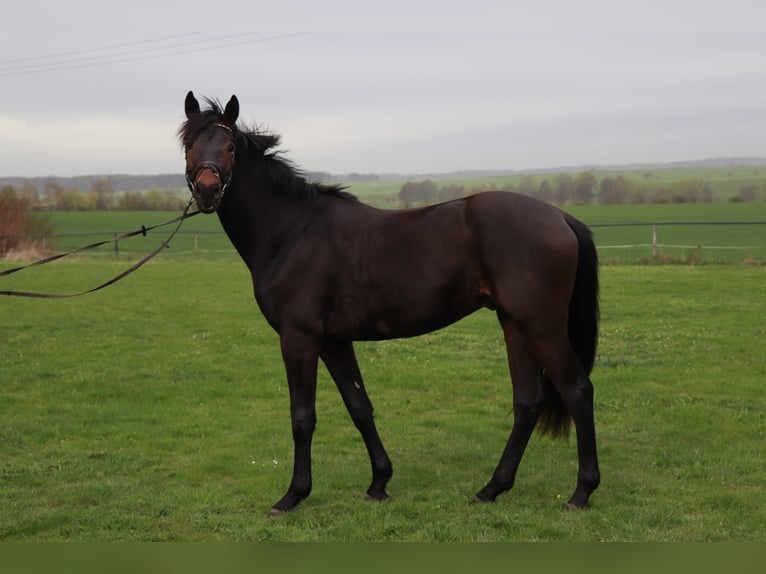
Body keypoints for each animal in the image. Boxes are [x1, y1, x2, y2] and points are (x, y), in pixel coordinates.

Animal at [178, 91, 600, 516]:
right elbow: (359, 406)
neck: (293, 232)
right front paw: (379, 482)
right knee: (527, 402)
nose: (208, 191)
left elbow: (302, 417)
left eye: (231, 147)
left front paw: (293, 495)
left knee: (577, 389)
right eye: (189, 146)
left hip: (542, 326)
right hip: (515, 324)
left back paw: (581, 492)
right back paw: (492, 488)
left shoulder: (299, 339)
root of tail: (560, 217)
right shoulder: (333, 341)